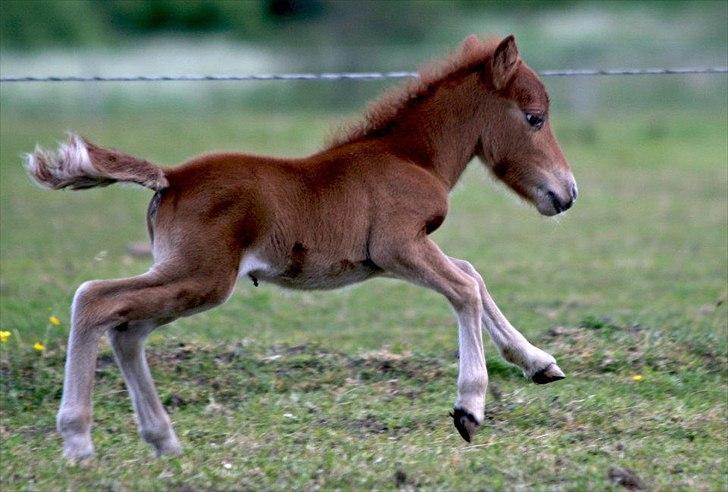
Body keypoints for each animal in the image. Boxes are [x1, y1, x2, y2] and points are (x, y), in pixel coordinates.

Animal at [25, 35, 576, 462]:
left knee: (127, 331)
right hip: (201, 277)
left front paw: (539, 364)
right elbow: (464, 287)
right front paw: (469, 408)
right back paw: (78, 441)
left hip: (187, 280)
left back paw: (162, 440)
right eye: (534, 118)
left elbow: (472, 274)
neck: (409, 156)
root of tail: (172, 176)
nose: (567, 193)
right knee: (95, 299)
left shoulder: (396, 256)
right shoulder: (398, 245)